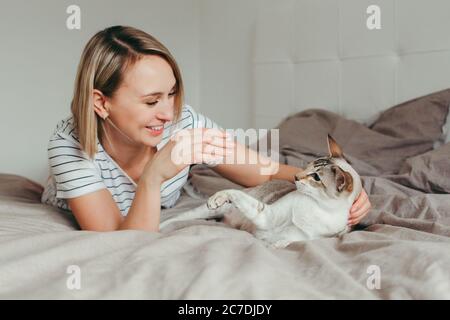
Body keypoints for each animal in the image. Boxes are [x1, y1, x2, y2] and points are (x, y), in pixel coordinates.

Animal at [159, 134, 362, 249]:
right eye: (309, 165)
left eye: (316, 177)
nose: (296, 177)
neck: (317, 207)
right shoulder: (267, 214)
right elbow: (234, 193)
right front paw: (220, 196)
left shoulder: (304, 236)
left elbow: (284, 242)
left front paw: (277, 244)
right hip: (206, 211)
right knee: (175, 218)